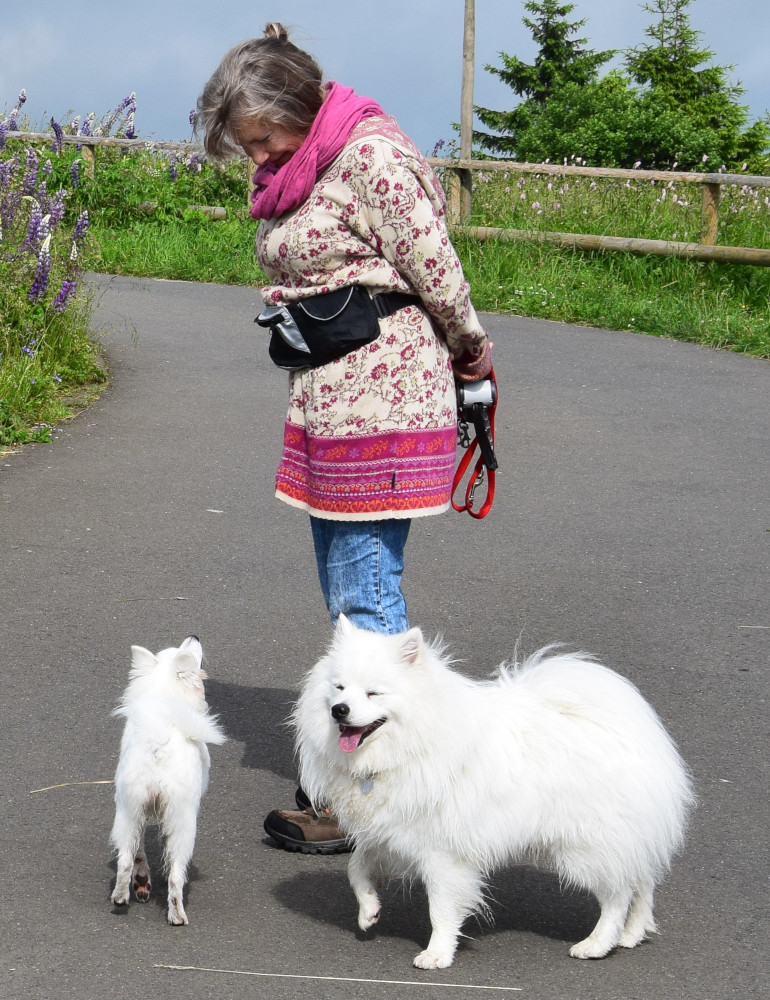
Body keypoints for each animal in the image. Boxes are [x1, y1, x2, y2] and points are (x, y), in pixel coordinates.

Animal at [110, 636, 225, 924]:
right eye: (192, 653)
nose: (194, 636)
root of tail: (158, 746)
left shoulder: (141, 812)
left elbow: (138, 852)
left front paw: (142, 880)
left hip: (128, 811)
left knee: (125, 860)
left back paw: (122, 896)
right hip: (183, 821)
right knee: (175, 876)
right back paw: (177, 915)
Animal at [292, 616, 688, 968]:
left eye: (373, 693)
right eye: (339, 688)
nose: (339, 710)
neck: (414, 742)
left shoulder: (443, 852)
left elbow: (441, 909)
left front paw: (437, 954)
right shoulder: (391, 832)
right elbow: (356, 867)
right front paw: (369, 910)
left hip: (586, 845)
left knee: (618, 894)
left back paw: (597, 943)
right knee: (641, 881)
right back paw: (631, 934)